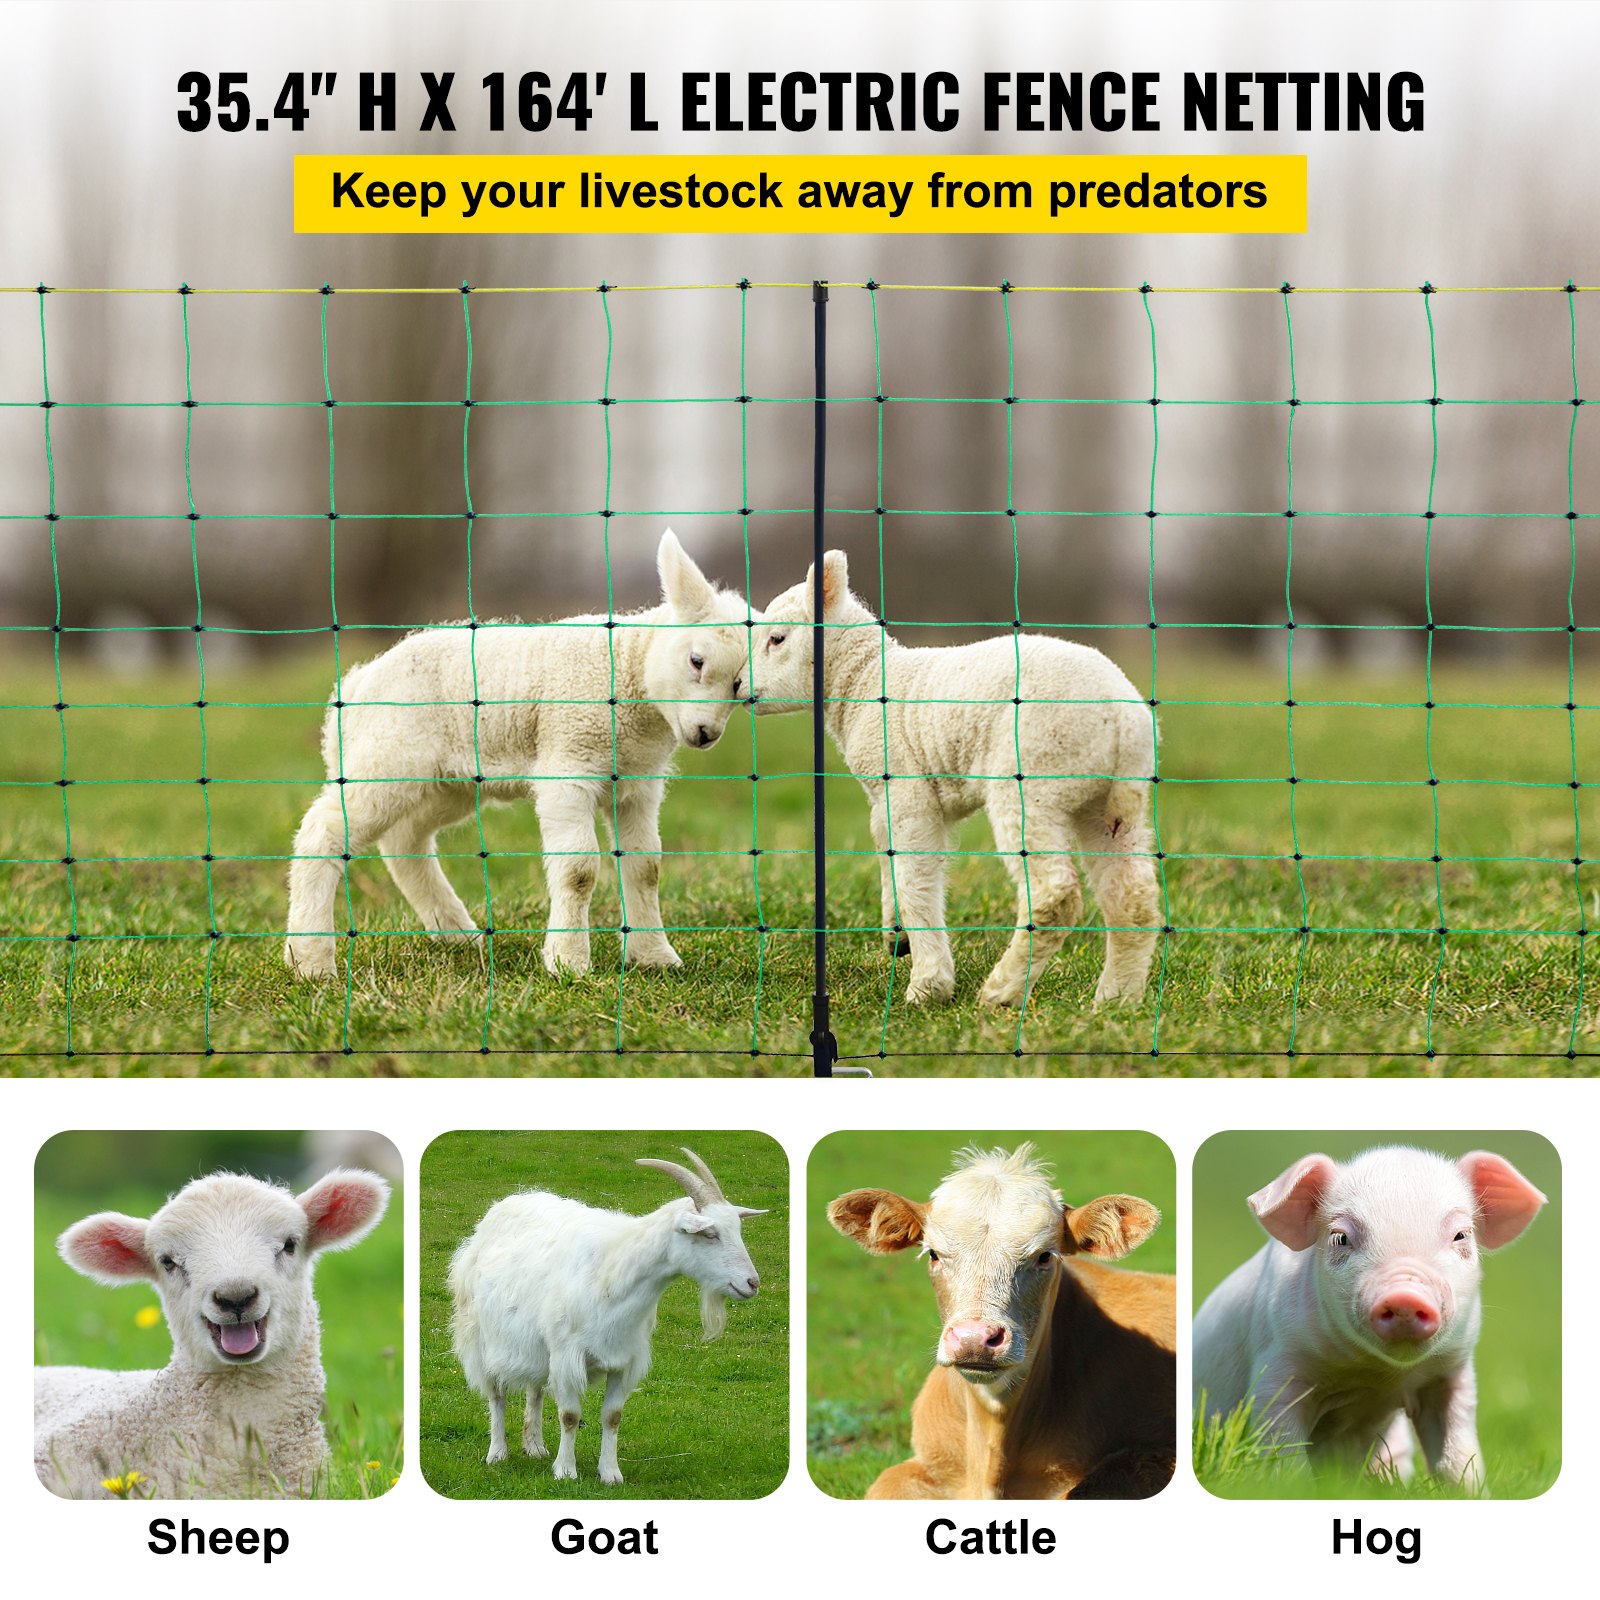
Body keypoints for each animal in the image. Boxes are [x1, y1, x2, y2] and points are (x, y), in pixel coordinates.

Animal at [284, 529, 755, 980]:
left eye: (739, 685)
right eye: (696, 661)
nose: (706, 734)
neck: (628, 669)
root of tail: (355, 686)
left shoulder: (637, 784)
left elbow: (646, 867)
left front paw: (654, 957)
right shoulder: (569, 762)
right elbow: (578, 869)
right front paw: (568, 962)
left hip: (445, 782)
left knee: (405, 842)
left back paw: (458, 935)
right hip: (388, 757)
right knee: (324, 830)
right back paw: (310, 960)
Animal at [449, 1149, 766, 1485]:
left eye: (737, 1230)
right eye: (709, 1233)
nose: (752, 1283)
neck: (613, 1271)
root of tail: (504, 1205)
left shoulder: (623, 1360)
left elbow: (612, 1417)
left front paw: (610, 1473)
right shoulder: (567, 1356)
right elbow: (569, 1416)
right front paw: (566, 1471)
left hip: (536, 1346)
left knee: (535, 1391)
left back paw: (535, 1446)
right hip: (480, 1337)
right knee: (496, 1394)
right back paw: (497, 1453)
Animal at [752, 551, 1160, 1007]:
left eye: (777, 639)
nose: (737, 685)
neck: (865, 681)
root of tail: (1123, 716)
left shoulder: (908, 789)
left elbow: (916, 879)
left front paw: (928, 984)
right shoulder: (889, 798)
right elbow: (885, 849)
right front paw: (896, 933)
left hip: (1032, 779)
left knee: (1054, 895)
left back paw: (1002, 991)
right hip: (1104, 802)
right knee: (1132, 895)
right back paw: (1116, 1000)